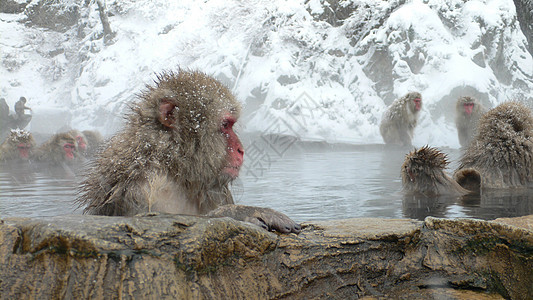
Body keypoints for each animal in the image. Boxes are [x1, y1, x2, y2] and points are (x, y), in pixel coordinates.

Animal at [76, 69, 300, 234]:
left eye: (231, 125)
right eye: (225, 125)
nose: (241, 149)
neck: (175, 167)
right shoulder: (145, 187)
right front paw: (243, 213)